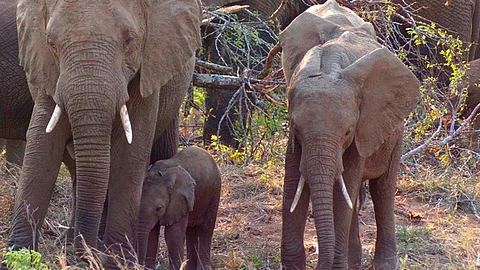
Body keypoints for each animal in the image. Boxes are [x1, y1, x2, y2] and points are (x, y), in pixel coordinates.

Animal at [7, 0, 202, 266]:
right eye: (52, 44)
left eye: (129, 41)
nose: (83, 255)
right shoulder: (47, 70)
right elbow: (42, 148)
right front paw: (18, 255)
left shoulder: (148, 67)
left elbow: (130, 153)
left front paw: (119, 261)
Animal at [278, 1, 420, 268]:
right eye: (297, 128)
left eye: (347, 132)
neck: (328, 66)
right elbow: (293, 182)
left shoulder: (363, 126)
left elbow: (344, 187)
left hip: (394, 130)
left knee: (382, 189)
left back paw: (383, 263)